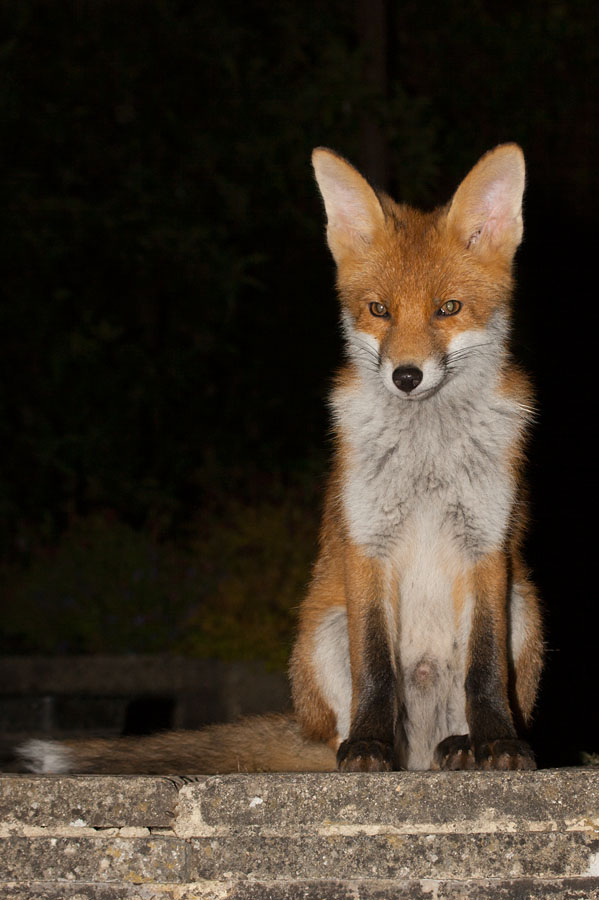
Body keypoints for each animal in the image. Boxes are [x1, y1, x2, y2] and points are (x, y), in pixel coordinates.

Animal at [18, 143, 543, 775]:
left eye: (448, 308)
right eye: (378, 310)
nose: (406, 376)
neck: (427, 460)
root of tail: (417, 757)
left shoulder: (486, 545)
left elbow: (484, 672)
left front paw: (498, 744)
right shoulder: (367, 544)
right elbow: (375, 672)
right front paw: (369, 747)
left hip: (525, 610)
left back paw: (461, 746)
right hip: (322, 631)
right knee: (341, 726)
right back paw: (361, 750)